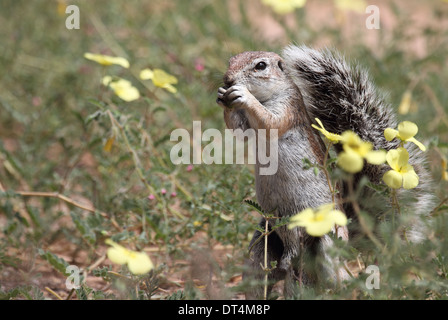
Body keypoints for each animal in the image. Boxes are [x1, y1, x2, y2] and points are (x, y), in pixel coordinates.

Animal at [217, 43, 434, 298]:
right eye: (231, 60)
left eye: (260, 65)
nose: (227, 78)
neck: (266, 95)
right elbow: (239, 131)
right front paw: (222, 96)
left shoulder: (289, 108)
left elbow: (270, 121)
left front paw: (243, 96)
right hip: (265, 238)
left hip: (326, 240)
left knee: (333, 276)